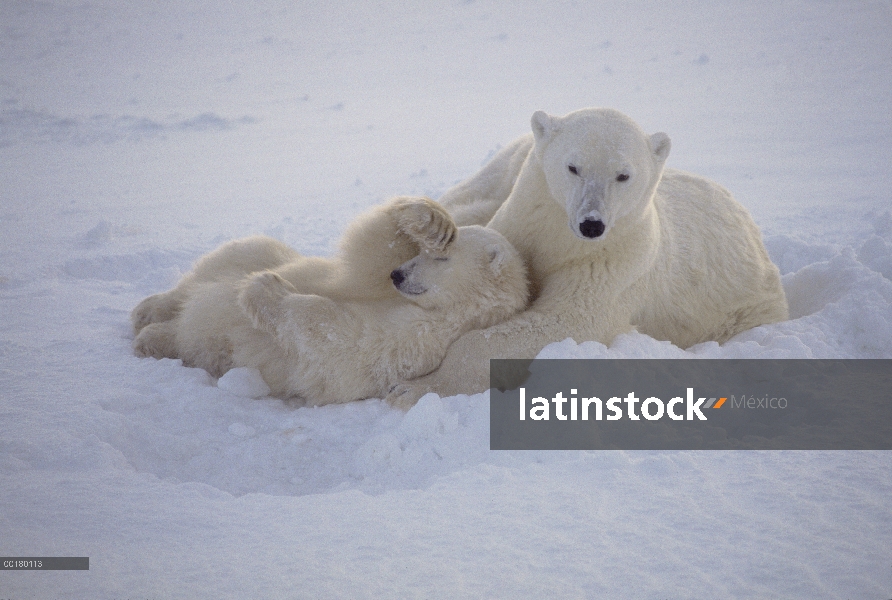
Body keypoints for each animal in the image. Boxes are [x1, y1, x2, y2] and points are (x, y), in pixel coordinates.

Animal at [129, 199, 528, 406]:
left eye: (442, 260)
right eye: (423, 254)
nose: (400, 275)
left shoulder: (423, 337)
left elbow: (343, 340)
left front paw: (267, 289)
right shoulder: (381, 287)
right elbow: (370, 255)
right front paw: (428, 219)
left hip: (212, 349)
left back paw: (151, 338)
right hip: (260, 256)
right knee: (242, 253)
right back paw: (148, 311)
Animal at [390, 106, 788, 408]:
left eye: (623, 175)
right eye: (573, 167)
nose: (592, 224)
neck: (562, 240)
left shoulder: (615, 264)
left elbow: (569, 321)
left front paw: (413, 388)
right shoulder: (521, 223)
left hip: (744, 312)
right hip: (508, 162)